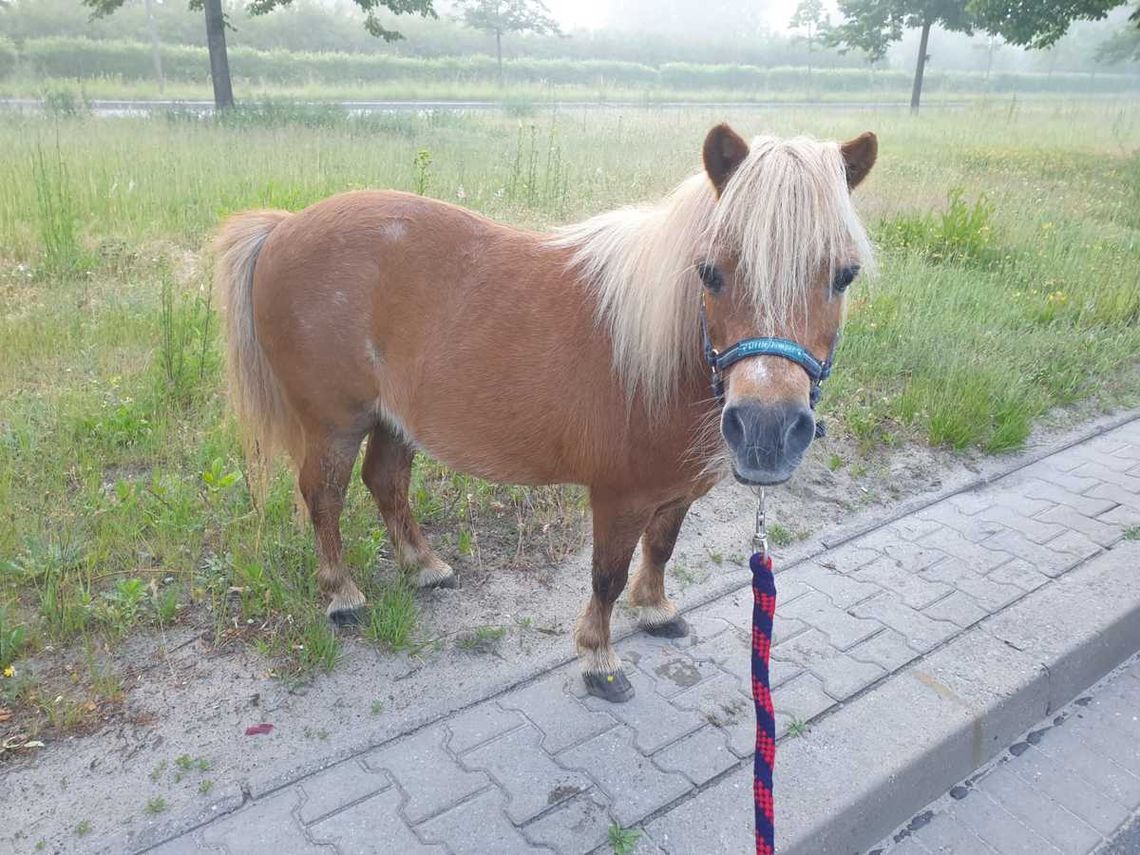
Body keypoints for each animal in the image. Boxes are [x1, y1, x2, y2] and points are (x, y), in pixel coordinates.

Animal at [215, 121, 870, 702]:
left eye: (844, 276)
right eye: (710, 272)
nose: (766, 431)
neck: (663, 350)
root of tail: (284, 226)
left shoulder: (678, 490)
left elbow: (661, 548)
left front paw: (656, 610)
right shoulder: (619, 497)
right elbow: (606, 576)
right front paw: (599, 659)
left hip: (396, 418)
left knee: (385, 481)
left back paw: (424, 566)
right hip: (334, 425)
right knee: (323, 496)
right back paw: (343, 595)